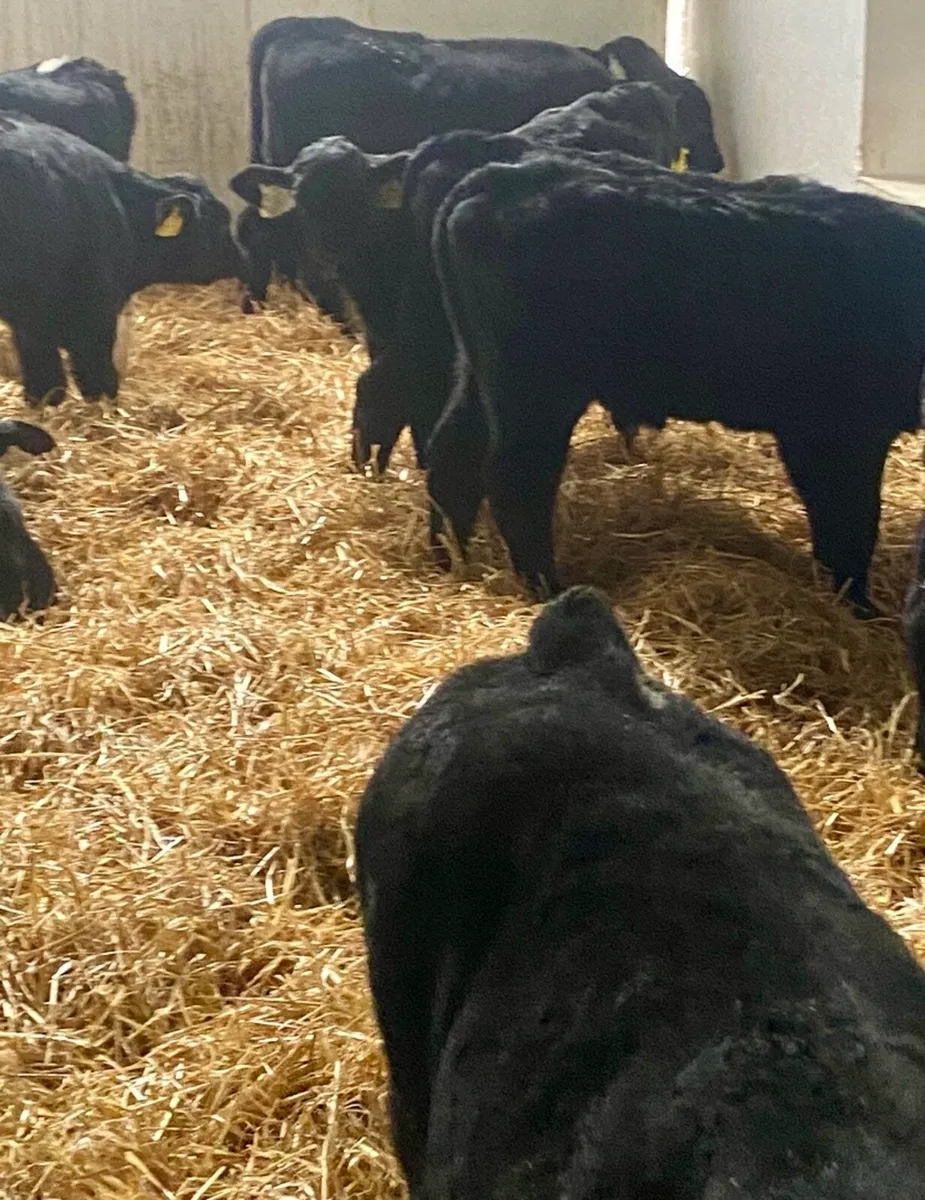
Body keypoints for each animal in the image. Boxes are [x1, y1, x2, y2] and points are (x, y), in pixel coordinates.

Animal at [0, 113, 243, 408]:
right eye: (220, 221)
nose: (240, 256)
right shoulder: (91, 311)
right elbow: (96, 379)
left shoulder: (31, 320)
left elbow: (46, 383)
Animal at [428, 154, 925, 615]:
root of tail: (505, 176)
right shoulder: (841, 434)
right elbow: (851, 522)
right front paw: (860, 609)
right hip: (536, 392)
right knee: (515, 478)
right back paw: (545, 586)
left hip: (478, 374)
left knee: (453, 452)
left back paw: (450, 558)